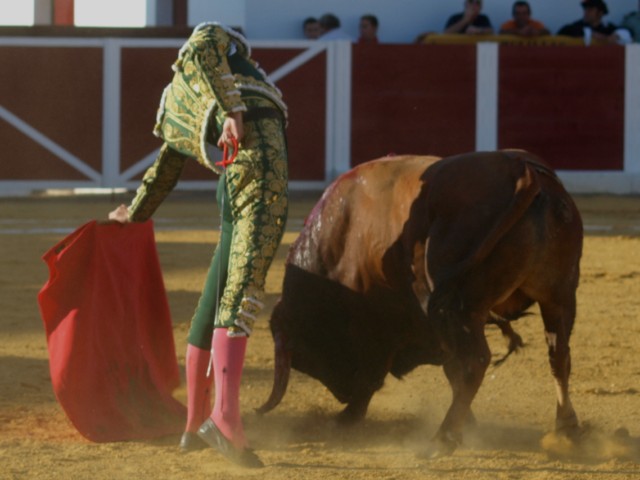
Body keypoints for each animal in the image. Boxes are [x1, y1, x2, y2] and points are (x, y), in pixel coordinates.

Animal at [258, 150, 584, 458]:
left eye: (306, 356)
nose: (343, 394)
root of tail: (524, 173)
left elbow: (387, 372)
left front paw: (349, 414)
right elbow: (449, 370)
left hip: (464, 308)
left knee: (474, 361)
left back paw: (442, 439)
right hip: (559, 297)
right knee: (559, 357)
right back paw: (566, 430)